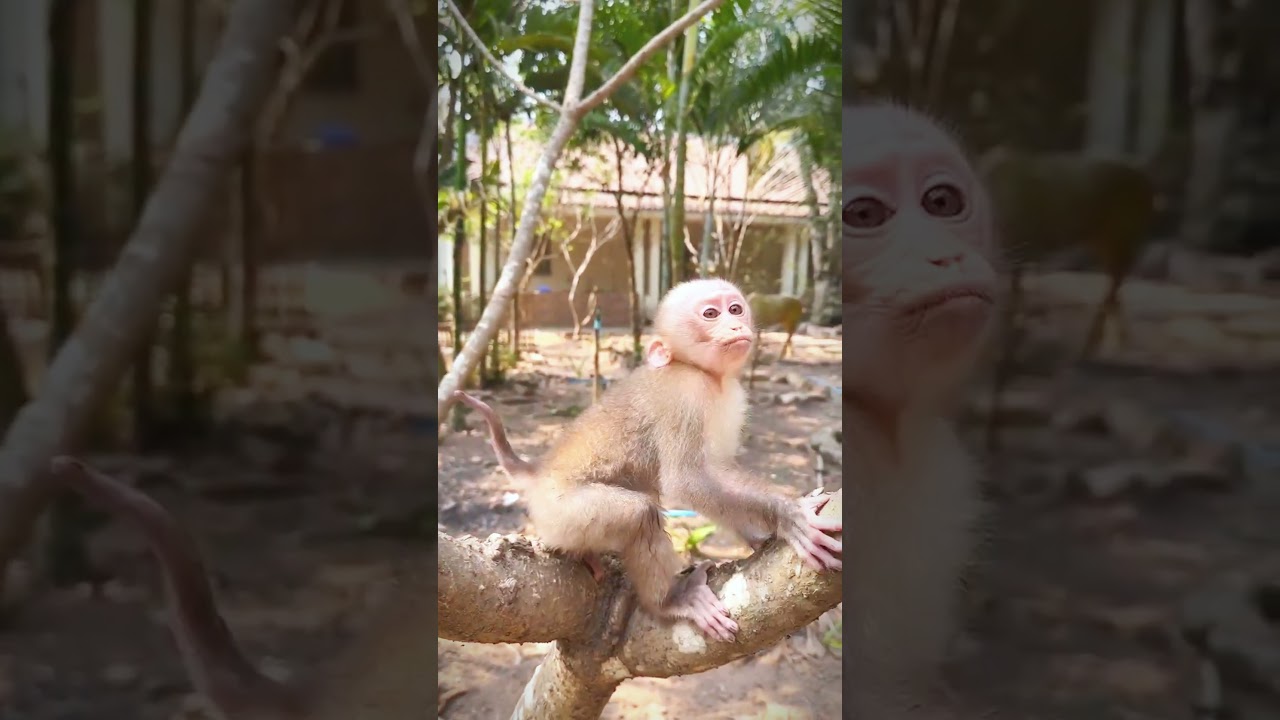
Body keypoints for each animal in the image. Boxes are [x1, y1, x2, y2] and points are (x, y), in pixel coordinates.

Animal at [450, 278, 842, 643]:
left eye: (735, 309)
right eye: (710, 314)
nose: (735, 326)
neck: (700, 372)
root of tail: (538, 472)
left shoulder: (731, 396)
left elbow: (719, 470)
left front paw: (759, 534)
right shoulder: (685, 393)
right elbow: (686, 481)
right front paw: (788, 517)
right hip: (560, 513)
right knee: (639, 514)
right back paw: (668, 601)